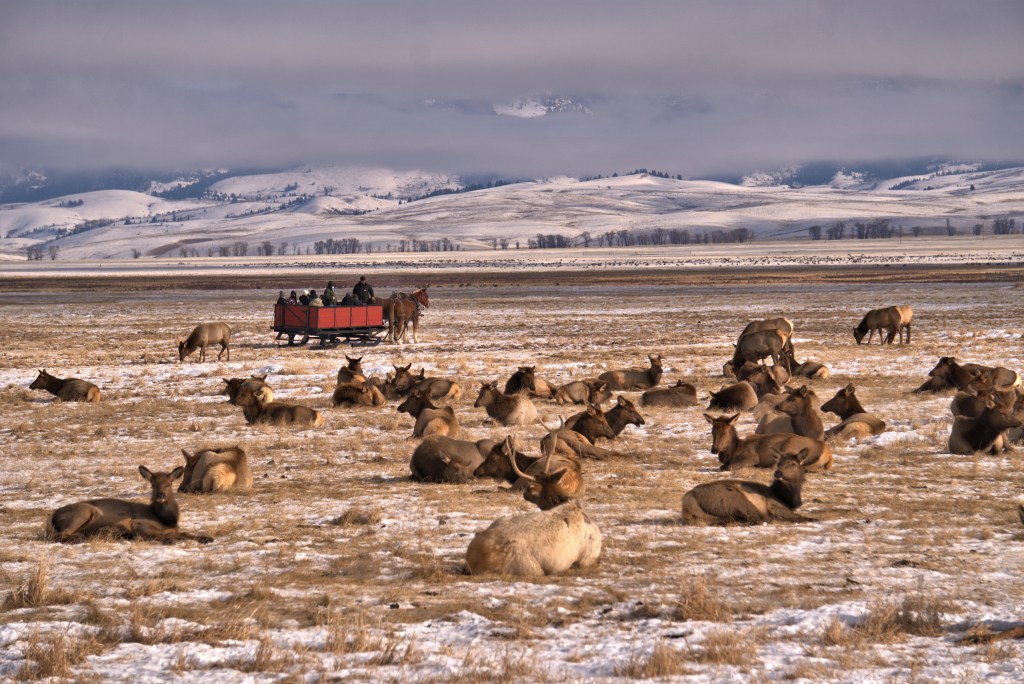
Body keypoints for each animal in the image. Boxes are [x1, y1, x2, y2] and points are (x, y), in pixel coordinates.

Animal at [46, 466, 213, 543]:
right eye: (152, 484)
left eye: (169, 483)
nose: (160, 495)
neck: (167, 520)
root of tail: (54, 515)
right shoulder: (139, 523)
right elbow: (158, 535)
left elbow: (185, 533)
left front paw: (206, 537)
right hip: (84, 511)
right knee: (61, 535)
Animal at [681, 452, 814, 525]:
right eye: (779, 463)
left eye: (793, 463)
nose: (778, 473)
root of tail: (688, 500)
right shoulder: (772, 504)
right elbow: (802, 517)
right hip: (737, 500)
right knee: (759, 519)